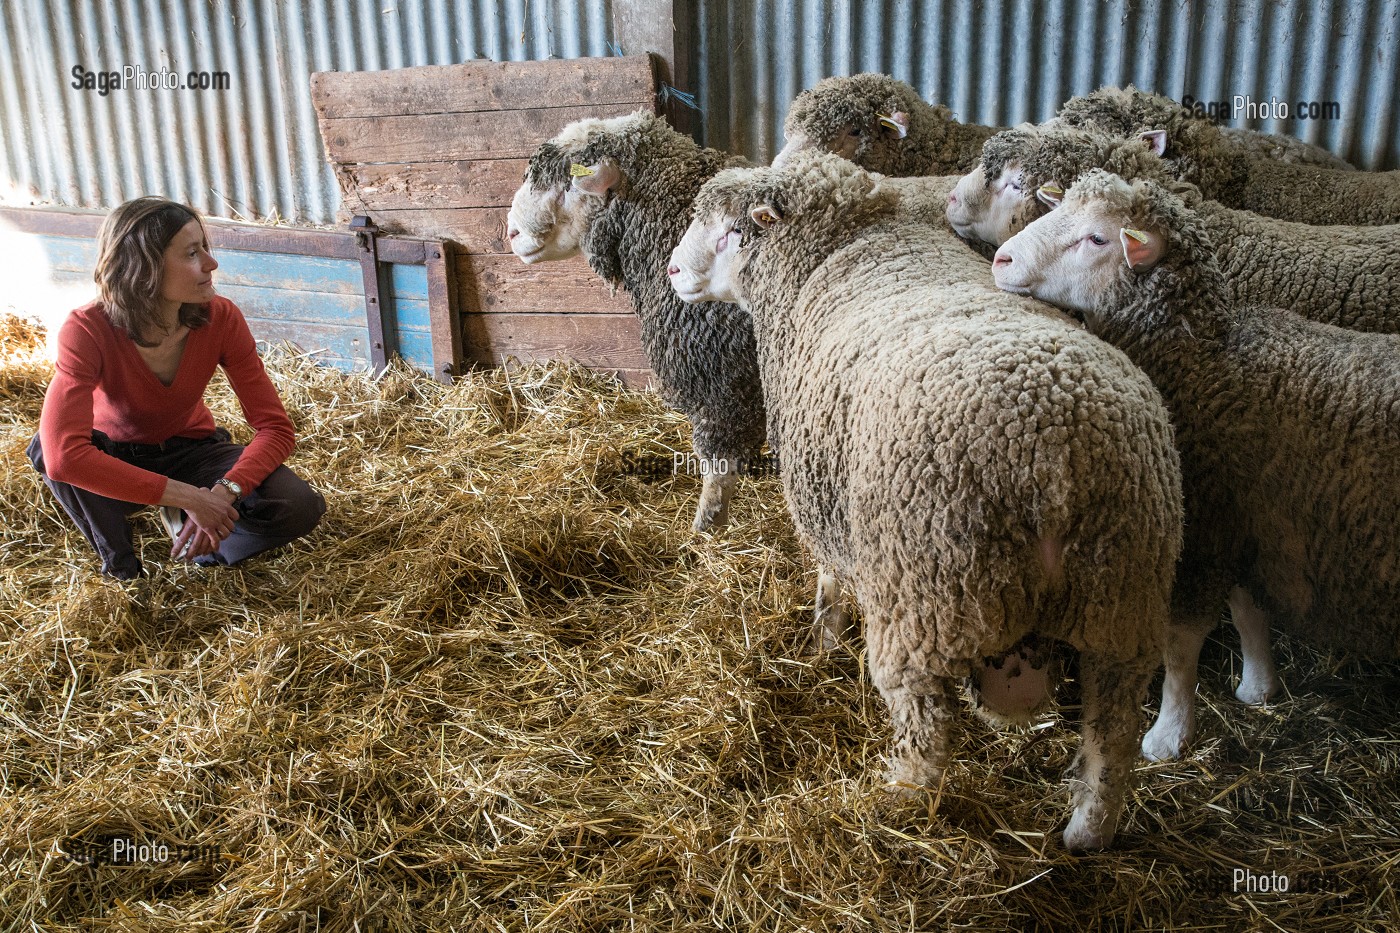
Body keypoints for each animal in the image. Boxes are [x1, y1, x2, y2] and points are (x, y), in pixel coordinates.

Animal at [668, 151, 1183, 850]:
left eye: (728, 233)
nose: (672, 271)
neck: (845, 247)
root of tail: (1054, 458)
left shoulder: (823, 494)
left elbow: (829, 577)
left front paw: (822, 640)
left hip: (925, 594)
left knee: (928, 729)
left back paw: (897, 802)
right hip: (1122, 600)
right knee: (1113, 733)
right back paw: (1086, 834)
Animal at [993, 169, 1400, 762]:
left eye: (1097, 238)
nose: (1001, 259)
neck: (1202, 361)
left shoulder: (1205, 529)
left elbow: (1181, 647)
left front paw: (1167, 734)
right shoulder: (1240, 522)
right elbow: (1248, 611)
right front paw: (1258, 686)